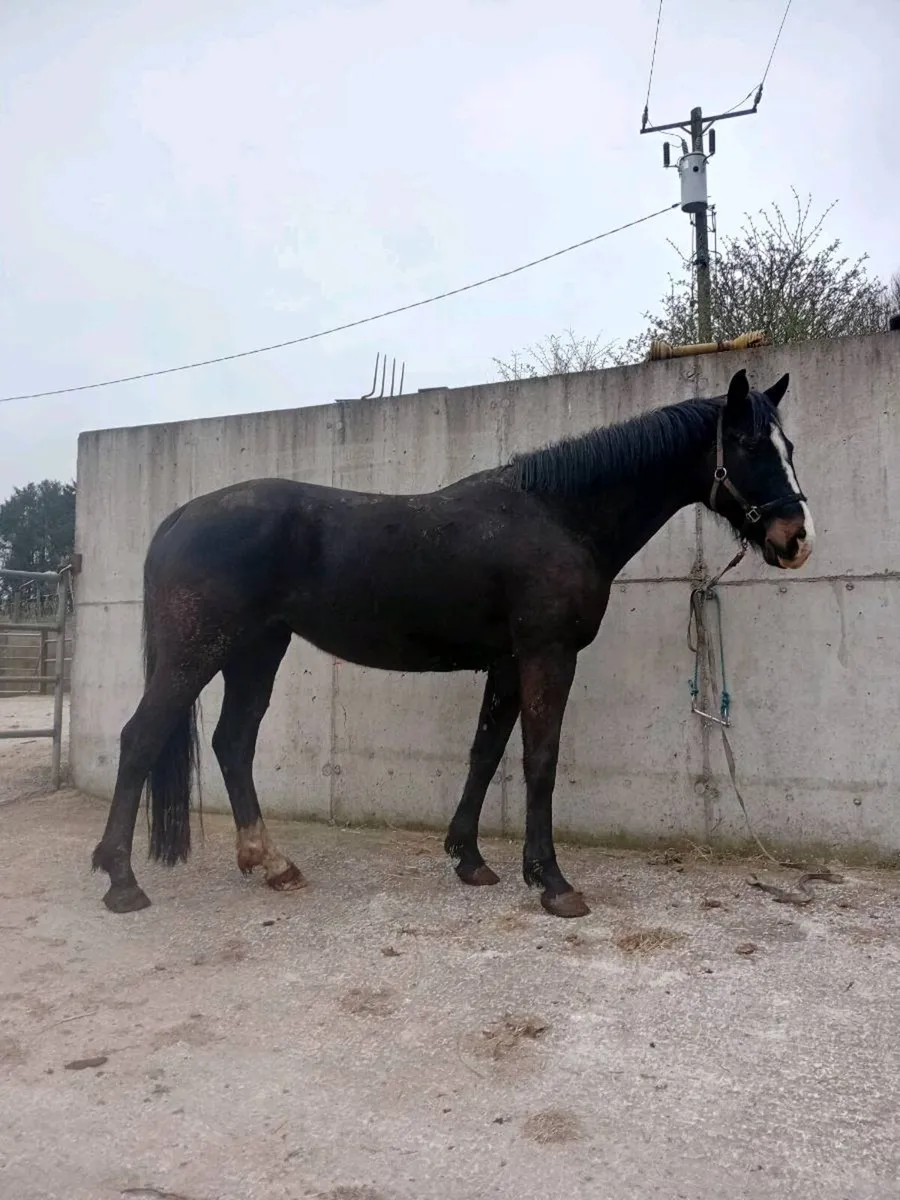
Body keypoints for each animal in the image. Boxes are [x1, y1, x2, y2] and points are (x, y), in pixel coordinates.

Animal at [91, 367, 813, 918]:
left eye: (790, 445)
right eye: (748, 443)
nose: (796, 538)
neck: (559, 516)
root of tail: (181, 516)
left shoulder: (506, 663)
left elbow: (485, 753)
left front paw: (470, 860)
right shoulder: (546, 654)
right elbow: (539, 760)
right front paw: (553, 883)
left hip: (257, 651)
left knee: (232, 743)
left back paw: (271, 864)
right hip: (196, 653)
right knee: (142, 738)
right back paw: (121, 881)